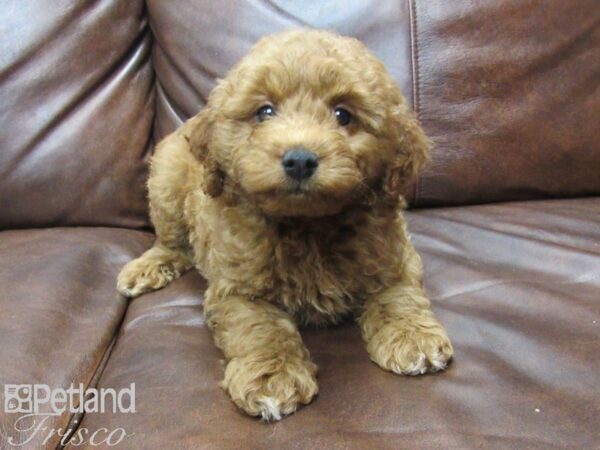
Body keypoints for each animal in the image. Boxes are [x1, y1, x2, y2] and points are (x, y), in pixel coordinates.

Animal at [117, 29, 452, 420]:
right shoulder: (237, 289)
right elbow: (261, 328)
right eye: (264, 111)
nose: (300, 160)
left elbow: (399, 294)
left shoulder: (393, 257)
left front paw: (413, 336)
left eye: (343, 114)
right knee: (170, 241)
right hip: (166, 182)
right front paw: (271, 377)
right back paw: (147, 267)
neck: (307, 225)